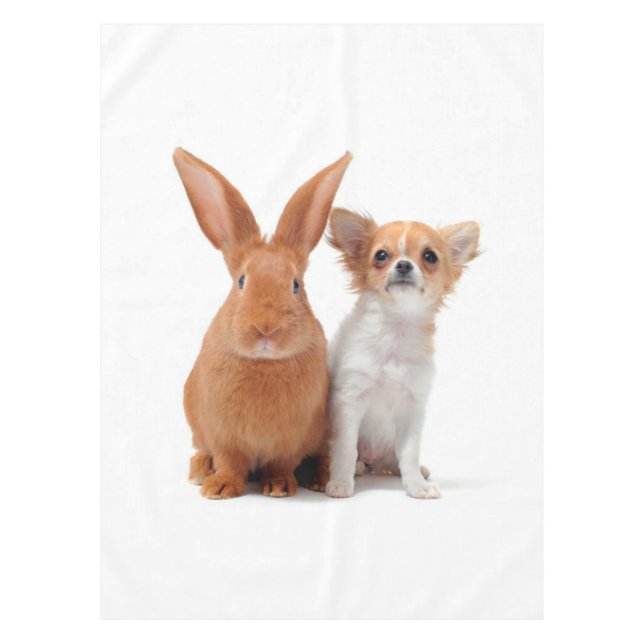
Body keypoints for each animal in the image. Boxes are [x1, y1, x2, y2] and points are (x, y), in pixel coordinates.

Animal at [173, 148, 352, 499]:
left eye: (296, 285)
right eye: (241, 282)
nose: (266, 328)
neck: (265, 364)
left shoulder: (289, 441)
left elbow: (281, 463)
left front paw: (280, 486)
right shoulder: (224, 436)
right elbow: (229, 462)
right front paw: (219, 488)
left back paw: (321, 476)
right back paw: (200, 471)